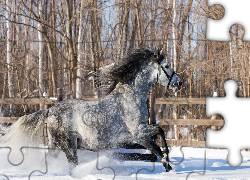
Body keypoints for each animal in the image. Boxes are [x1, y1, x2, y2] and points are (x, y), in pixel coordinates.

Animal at [0, 47, 183, 173]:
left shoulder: (142, 133)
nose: (179, 83)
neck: (130, 97)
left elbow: (158, 141)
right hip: (68, 145)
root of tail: (50, 111)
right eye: (167, 65)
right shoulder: (138, 132)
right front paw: (167, 161)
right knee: (72, 165)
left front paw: (168, 165)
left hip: (55, 145)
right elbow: (159, 137)